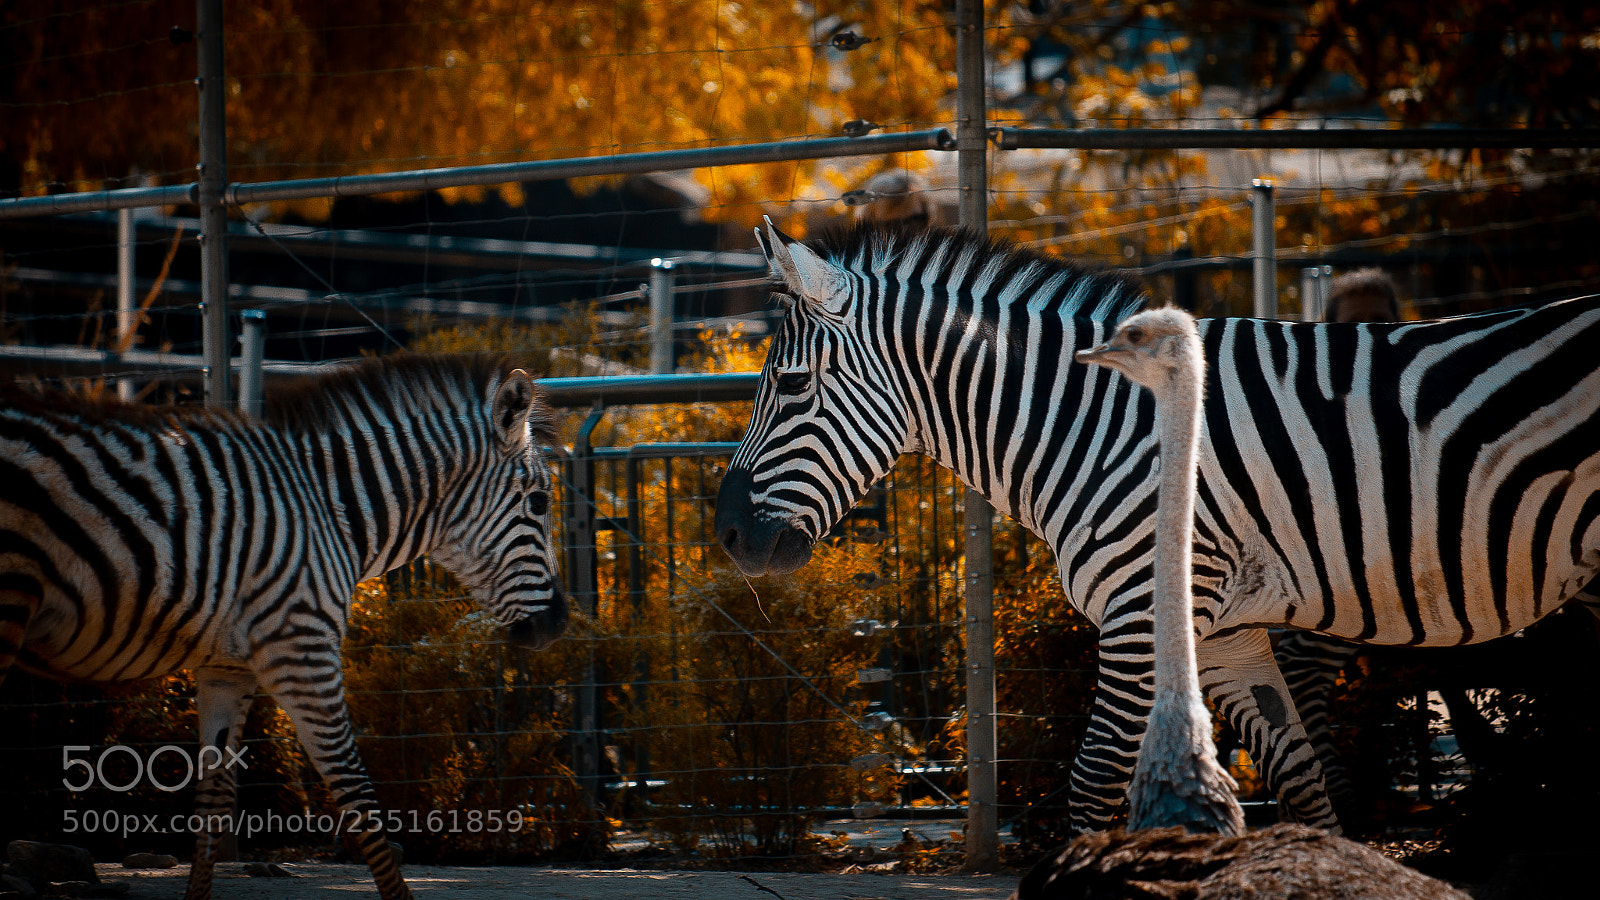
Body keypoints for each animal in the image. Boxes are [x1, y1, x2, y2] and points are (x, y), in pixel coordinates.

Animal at [0, 354, 567, 900]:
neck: (328, 510)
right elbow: (356, 792)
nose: (559, 625)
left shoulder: (227, 669)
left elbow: (215, 799)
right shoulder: (301, 648)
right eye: (539, 503)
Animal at [713, 220, 1600, 834]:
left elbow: (1095, 780)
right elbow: (1298, 779)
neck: (1097, 423)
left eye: (791, 386)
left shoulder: (1141, 613)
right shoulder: (1227, 633)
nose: (724, 535)